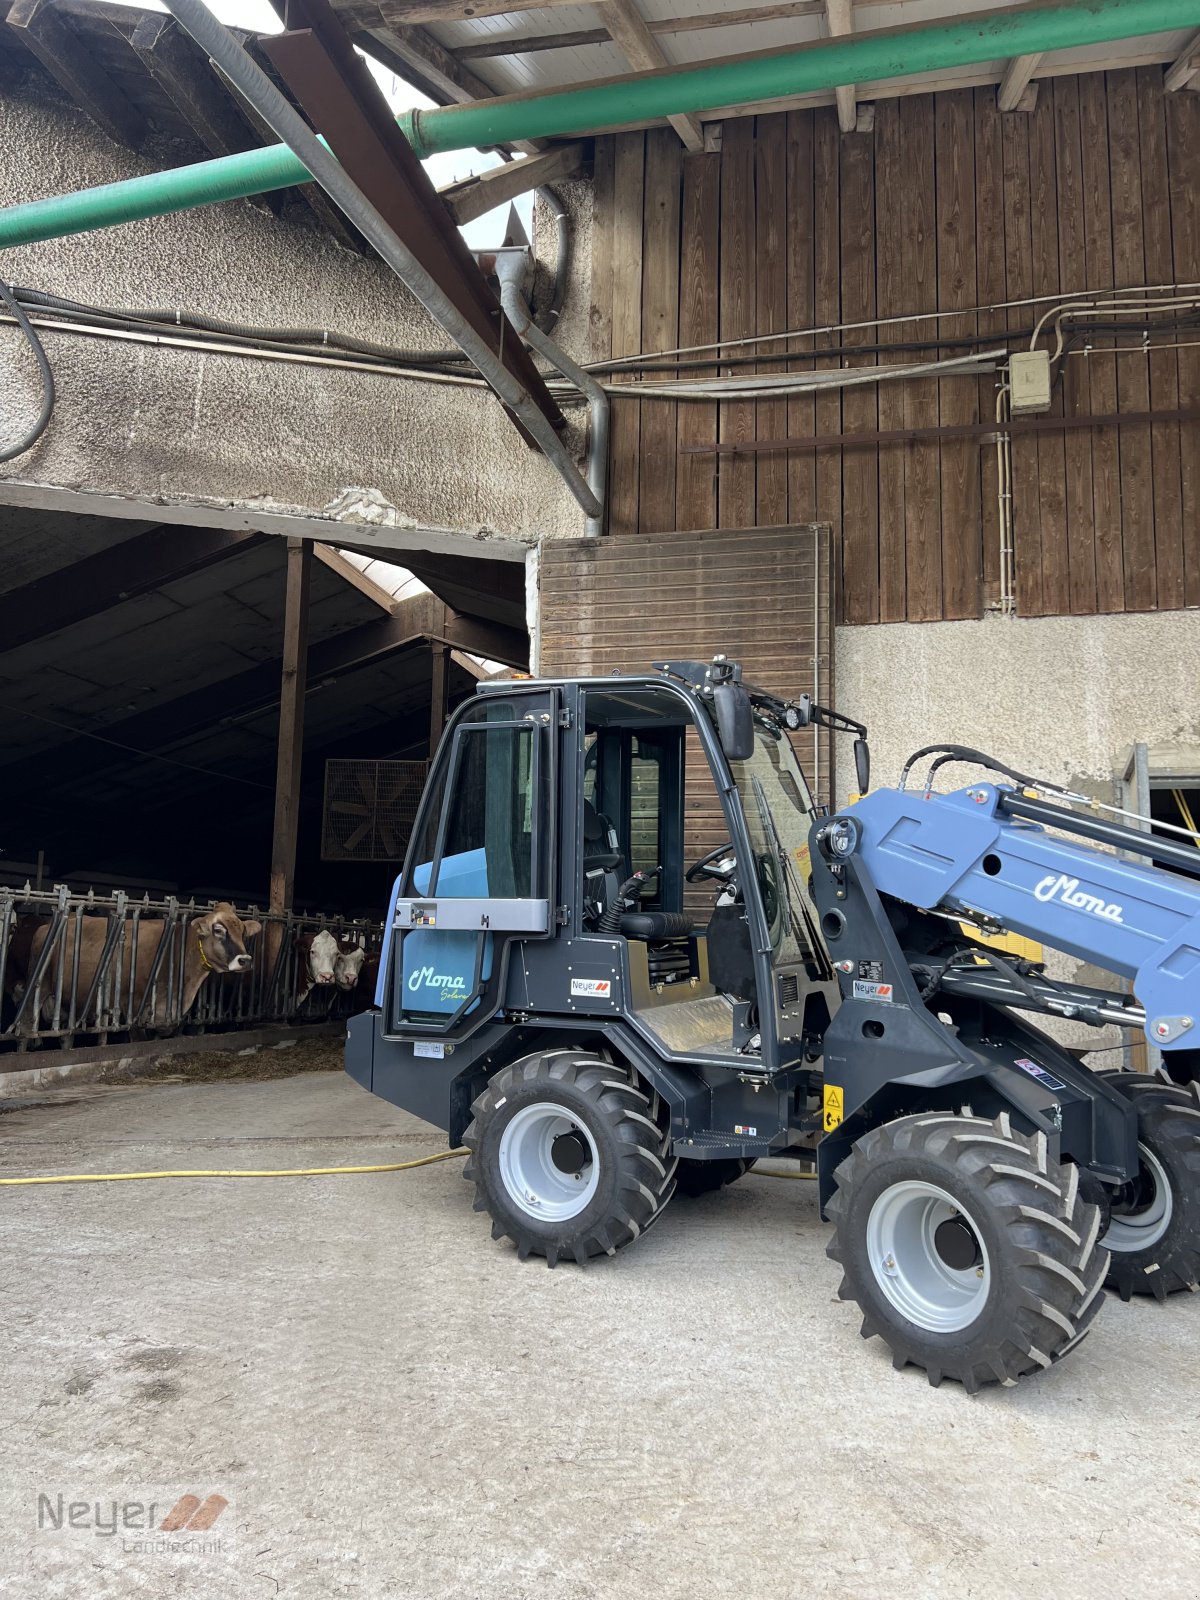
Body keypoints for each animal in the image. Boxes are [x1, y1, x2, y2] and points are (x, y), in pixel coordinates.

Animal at [28, 902, 260, 1024]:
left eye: (243, 932)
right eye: (218, 930)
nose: (245, 960)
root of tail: (42, 928)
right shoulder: (133, 1006)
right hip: (39, 991)